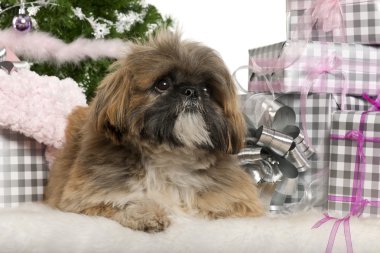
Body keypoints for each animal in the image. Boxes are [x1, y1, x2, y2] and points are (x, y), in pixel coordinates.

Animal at [44, 30, 262, 232]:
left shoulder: (240, 203)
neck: (170, 156)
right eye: (163, 84)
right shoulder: (84, 199)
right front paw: (146, 214)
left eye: (207, 90)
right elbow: (121, 203)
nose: (192, 91)